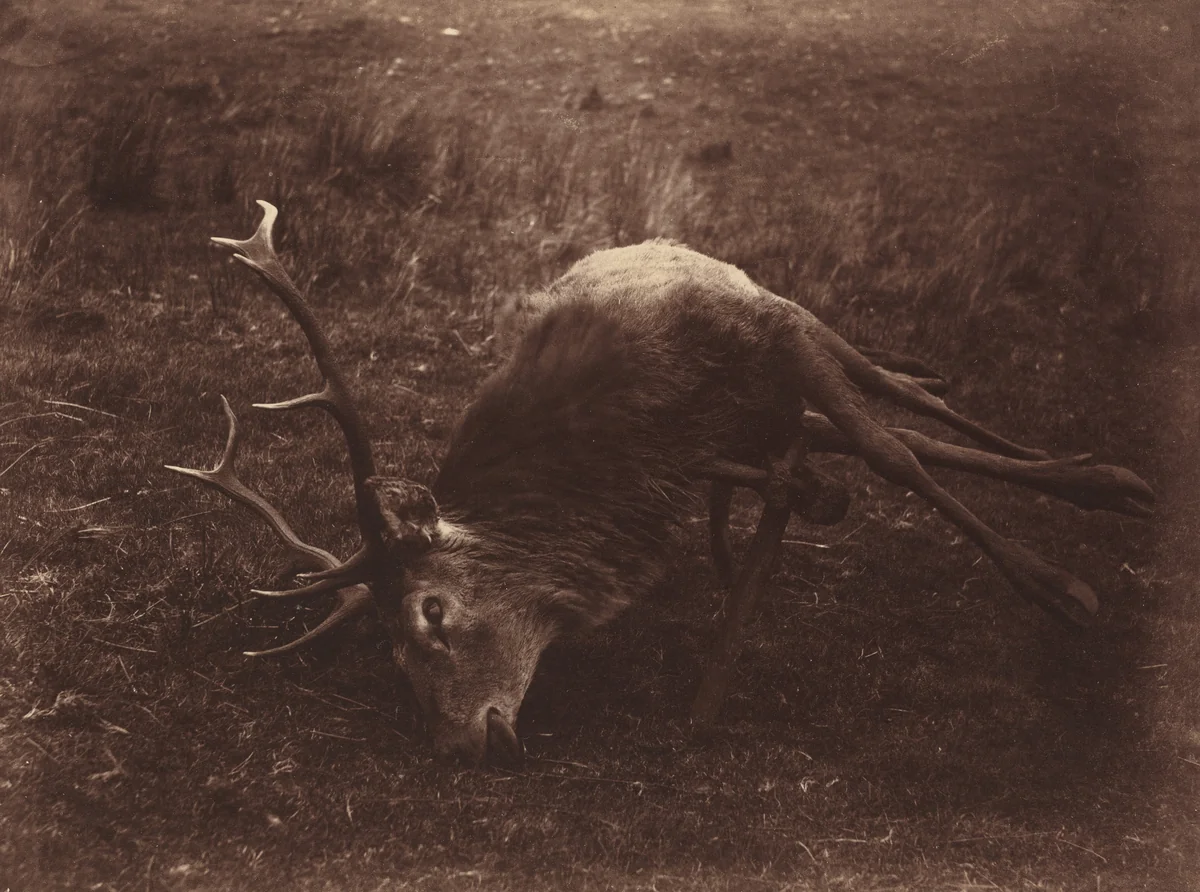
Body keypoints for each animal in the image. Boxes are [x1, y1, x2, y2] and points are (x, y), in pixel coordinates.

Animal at [168, 201, 1155, 766]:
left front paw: (1060, 586)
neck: (636, 434)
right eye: (393, 656)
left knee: (905, 401)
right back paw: (1090, 476)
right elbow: (874, 453)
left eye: (431, 613)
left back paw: (1102, 477)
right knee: (875, 422)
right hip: (769, 411)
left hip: (796, 332)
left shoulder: (774, 333)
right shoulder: (719, 442)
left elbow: (894, 452)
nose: (456, 746)